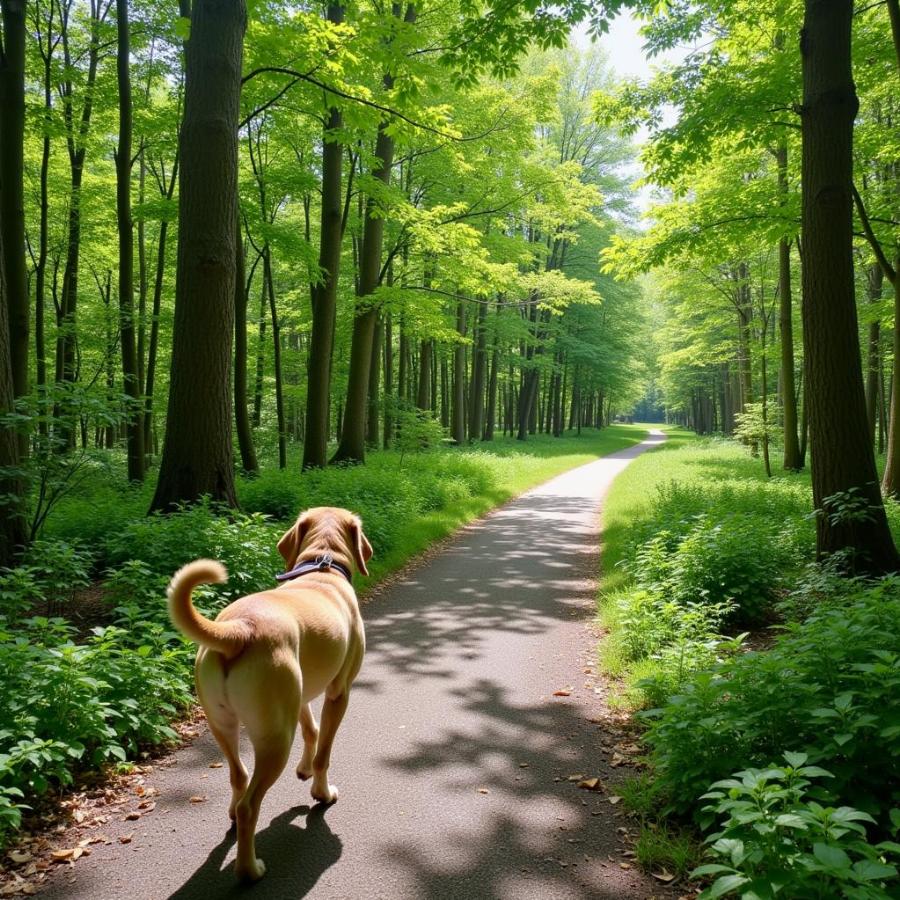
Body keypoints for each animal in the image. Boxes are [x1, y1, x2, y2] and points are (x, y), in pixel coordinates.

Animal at [165, 506, 370, 880]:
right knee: (250, 806)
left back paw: (234, 815)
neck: (323, 563)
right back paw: (249, 870)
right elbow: (324, 751)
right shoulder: (339, 693)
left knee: (239, 777)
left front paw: (304, 770)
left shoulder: (299, 697)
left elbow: (311, 729)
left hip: (224, 725)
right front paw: (321, 792)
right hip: (276, 740)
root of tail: (238, 630)